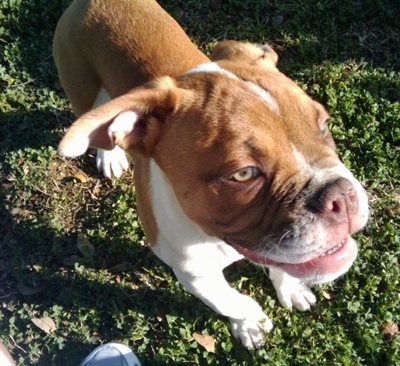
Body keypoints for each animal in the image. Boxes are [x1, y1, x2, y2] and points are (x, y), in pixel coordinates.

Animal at [54, 0, 368, 348]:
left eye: (323, 126)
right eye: (244, 174)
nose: (341, 196)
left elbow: (286, 265)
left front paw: (291, 287)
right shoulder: (195, 274)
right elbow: (232, 300)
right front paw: (250, 323)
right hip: (82, 93)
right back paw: (109, 155)